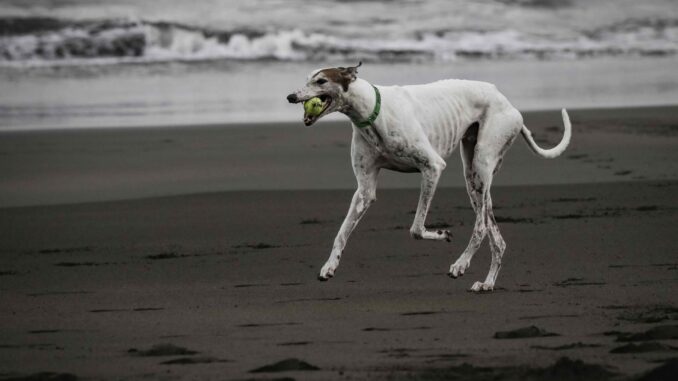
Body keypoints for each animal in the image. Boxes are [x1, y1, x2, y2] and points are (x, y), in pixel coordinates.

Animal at [284, 62, 572, 290]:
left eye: (321, 81)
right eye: (308, 78)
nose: (290, 96)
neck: (372, 111)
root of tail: (508, 104)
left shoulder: (433, 167)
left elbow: (415, 229)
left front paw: (442, 234)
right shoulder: (365, 190)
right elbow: (342, 232)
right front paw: (329, 266)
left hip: (482, 163)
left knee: (480, 226)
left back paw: (461, 264)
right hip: (473, 178)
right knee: (497, 238)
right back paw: (487, 283)